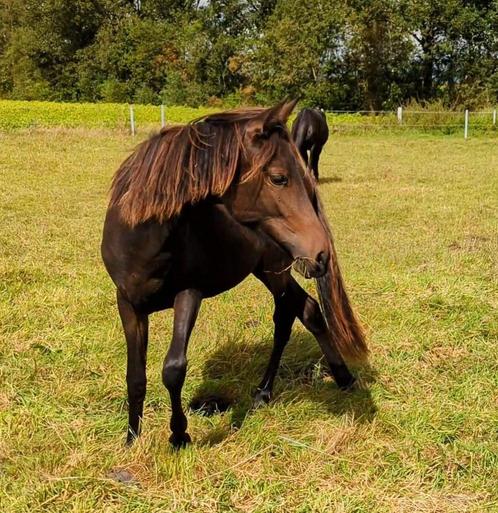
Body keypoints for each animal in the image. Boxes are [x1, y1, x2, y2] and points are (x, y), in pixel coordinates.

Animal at [101, 99, 368, 444]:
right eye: (279, 178)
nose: (321, 252)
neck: (145, 240)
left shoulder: (189, 293)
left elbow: (173, 368)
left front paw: (179, 435)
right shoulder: (128, 303)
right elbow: (135, 375)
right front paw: (132, 437)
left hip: (274, 269)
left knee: (289, 314)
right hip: (267, 270)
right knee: (304, 309)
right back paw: (322, 380)